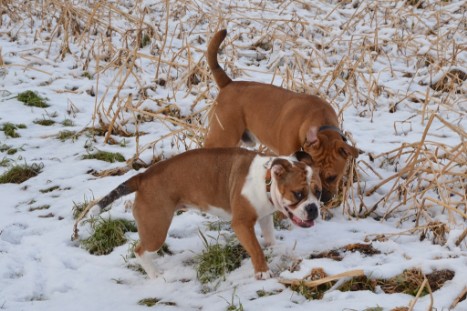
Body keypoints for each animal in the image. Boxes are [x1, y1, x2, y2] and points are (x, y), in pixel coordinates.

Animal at [93, 148, 324, 280]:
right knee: (139, 250)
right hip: (156, 228)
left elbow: (268, 237)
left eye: (318, 192)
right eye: (298, 194)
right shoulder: (241, 223)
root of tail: (142, 177)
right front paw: (262, 271)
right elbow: (256, 249)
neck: (267, 180)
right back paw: (154, 273)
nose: (313, 208)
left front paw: (274, 248)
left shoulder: (265, 216)